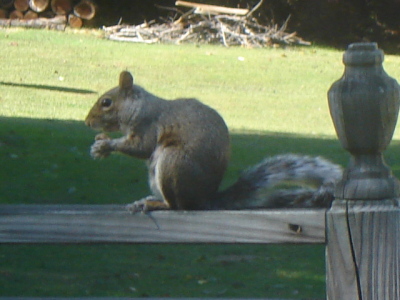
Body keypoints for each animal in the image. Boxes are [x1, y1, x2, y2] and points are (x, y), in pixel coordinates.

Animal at [85, 70, 344, 212]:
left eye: (106, 102)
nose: (87, 122)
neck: (139, 106)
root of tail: (205, 199)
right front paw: (100, 141)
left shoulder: (148, 125)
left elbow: (141, 147)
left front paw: (105, 145)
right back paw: (148, 199)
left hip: (172, 163)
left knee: (178, 206)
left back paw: (158, 204)